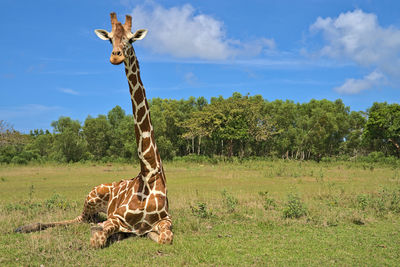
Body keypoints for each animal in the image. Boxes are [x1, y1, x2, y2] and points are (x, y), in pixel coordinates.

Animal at [14, 12, 172, 247]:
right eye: (110, 39)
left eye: (130, 39)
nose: (115, 56)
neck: (149, 172)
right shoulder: (116, 218)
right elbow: (98, 237)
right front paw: (115, 234)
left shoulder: (165, 220)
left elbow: (163, 238)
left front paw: (140, 234)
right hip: (92, 195)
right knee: (81, 219)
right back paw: (25, 226)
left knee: (89, 219)